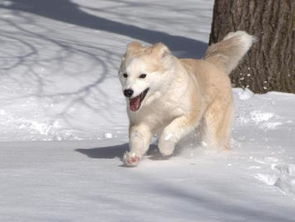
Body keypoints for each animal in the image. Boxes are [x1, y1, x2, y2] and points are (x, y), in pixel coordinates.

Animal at [118, 31, 254, 166]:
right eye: (125, 75)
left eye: (143, 75)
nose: (127, 92)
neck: (159, 99)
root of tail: (212, 64)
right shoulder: (140, 122)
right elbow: (138, 140)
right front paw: (132, 157)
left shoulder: (189, 115)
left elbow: (169, 131)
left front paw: (166, 150)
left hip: (212, 126)